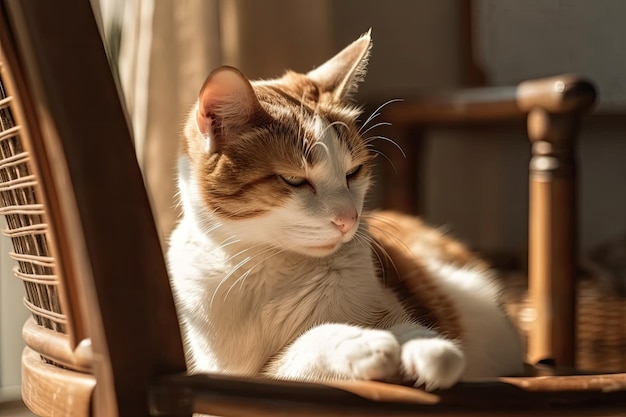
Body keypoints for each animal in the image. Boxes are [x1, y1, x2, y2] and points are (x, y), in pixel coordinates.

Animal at [167, 30, 520, 390]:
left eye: (354, 172)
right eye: (294, 180)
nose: (348, 219)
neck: (272, 267)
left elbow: (412, 329)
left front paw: (427, 349)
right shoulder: (234, 370)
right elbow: (307, 343)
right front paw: (363, 343)